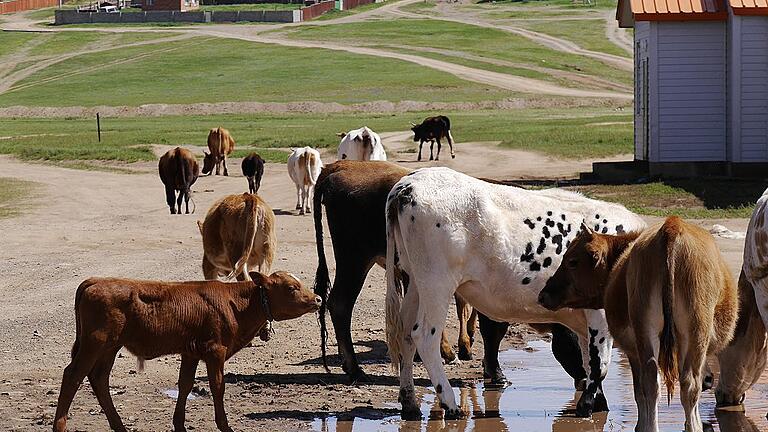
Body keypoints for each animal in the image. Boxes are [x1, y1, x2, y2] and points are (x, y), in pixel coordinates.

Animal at [51, 272, 320, 432]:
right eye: (291, 287)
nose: (317, 298)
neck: (235, 303)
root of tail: (95, 281)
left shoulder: (191, 353)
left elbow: (185, 384)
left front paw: (179, 425)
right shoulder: (215, 350)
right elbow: (217, 386)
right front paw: (225, 426)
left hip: (110, 346)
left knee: (99, 379)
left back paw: (120, 427)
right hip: (95, 342)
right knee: (73, 375)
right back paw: (60, 426)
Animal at [316, 161, 584, 384]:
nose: (585, 379)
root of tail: (338, 167)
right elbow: (493, 329)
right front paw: (493, 370)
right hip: (355, 260)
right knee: (340, 305)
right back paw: (354, 368)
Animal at [384, 167, 648, 420]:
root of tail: (408, 184)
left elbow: (589, 359)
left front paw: (597, 403)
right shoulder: (599, 316)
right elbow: (599, 363)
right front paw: (587, 405)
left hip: (415, 281)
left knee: (404, 334)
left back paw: (409, 402)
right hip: (436, 283)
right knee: (424, 336)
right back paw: (450, 405)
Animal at [536, 218, 740, 432]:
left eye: (572, 261)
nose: (543, 295)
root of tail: (672, 226)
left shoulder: (632, 349)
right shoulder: (634, 349)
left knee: (660, 383)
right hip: (687, 333)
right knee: (679, 384)